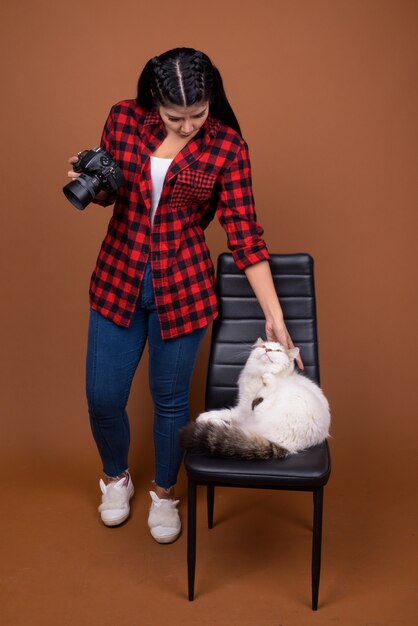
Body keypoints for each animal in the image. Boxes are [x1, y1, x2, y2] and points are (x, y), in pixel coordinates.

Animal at [180, 336, 330, 458]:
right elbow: (224, 412)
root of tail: (289, 446)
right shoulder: (242, 408)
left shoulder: (246, 409)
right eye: (263, 347)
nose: (267, 350)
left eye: (278, 351)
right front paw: (205, 416)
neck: (258, 374)